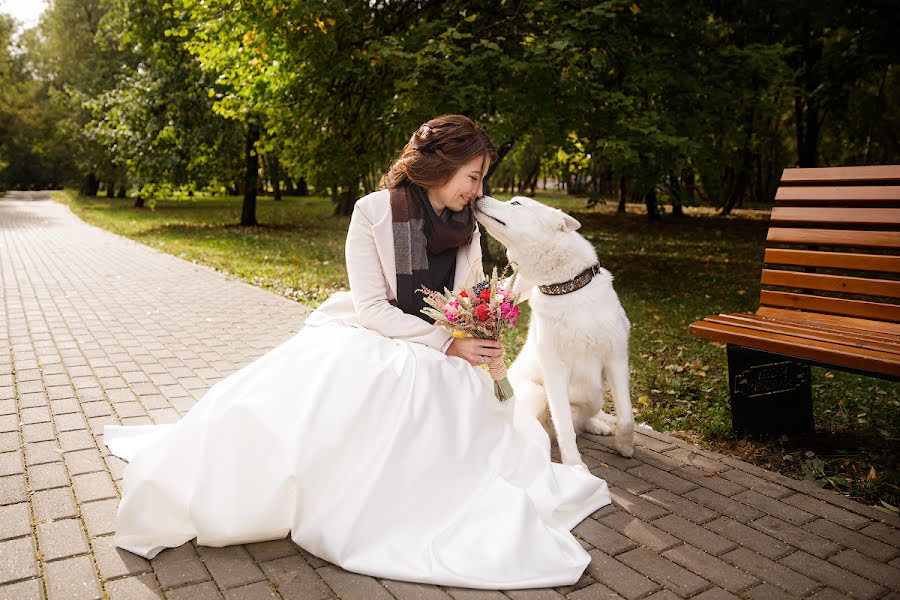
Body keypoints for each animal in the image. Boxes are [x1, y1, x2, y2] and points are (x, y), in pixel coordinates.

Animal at [472, 197, 632, 464]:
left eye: (516, 203)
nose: (477, 197)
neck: (567, 290)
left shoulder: (616, 360)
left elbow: (627, 417)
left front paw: (624, 446)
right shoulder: (555, 371)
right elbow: (565, 428)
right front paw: (576, 466)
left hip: (595, 394)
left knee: (583, 418)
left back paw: (597, 425)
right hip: (537, 392)